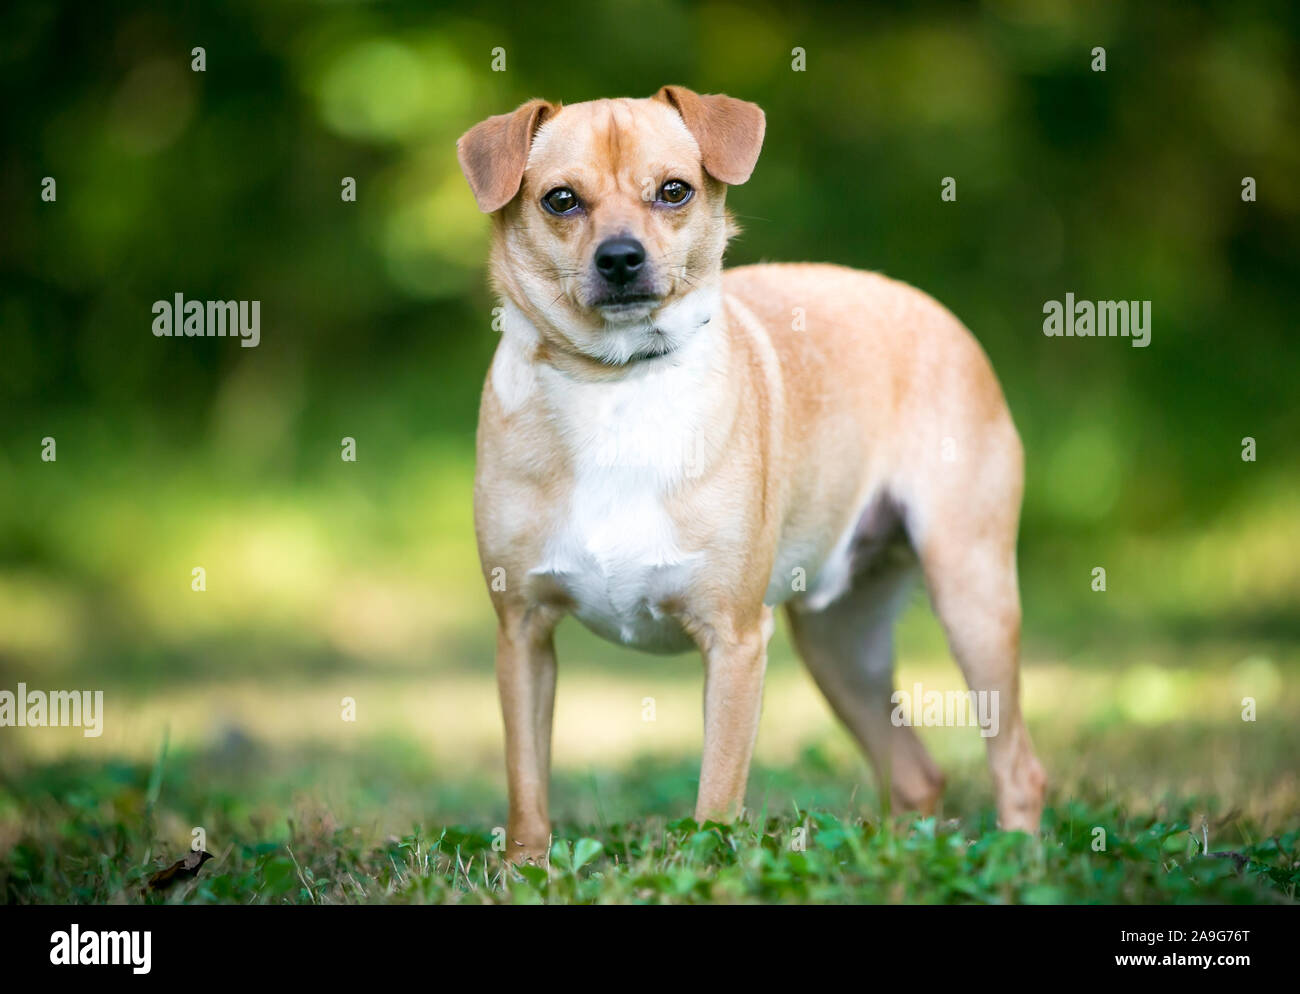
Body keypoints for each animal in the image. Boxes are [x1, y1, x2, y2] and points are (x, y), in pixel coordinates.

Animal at [457, 85, 1045, 862]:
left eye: (674, 191)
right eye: (561, 200)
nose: (621, 258)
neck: (616, 385)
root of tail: (936, 311)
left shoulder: (734, 642)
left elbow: (715, 800)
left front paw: (705, 870)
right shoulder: (523, 636)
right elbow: (527, 789)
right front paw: (526, 870)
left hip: (971, 599)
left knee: (1018, 767)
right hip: (840, 644)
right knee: (915, 773)